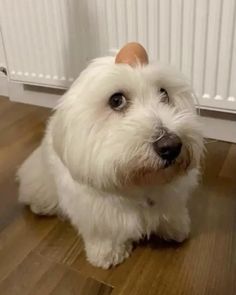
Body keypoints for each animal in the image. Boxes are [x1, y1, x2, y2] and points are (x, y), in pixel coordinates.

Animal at [17, 42, 204, 270]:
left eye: (164, 93)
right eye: (116, 100)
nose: (171, 146)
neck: (140, 181)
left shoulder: (173, 195)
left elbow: (173, 211)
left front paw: (176, 227)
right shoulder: (97, 211)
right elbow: (105, 234)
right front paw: (107, 254)